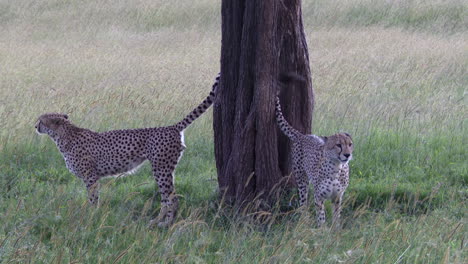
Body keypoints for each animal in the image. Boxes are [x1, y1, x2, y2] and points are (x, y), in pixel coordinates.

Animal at [36, 74, 219, 227]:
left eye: (41, 120)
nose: (35, 126)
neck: (64, 135)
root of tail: (172, 127)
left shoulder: (91, 176)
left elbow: (93, 198)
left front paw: (92, 215)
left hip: (161, 169)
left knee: (171, 198)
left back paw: (165, 224)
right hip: (166, 169)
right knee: (166, 198)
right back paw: (156, 221)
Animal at [274, 76, 354, 227]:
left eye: (350, 144)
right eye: (338, 145)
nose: (347, 155)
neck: (337, 167)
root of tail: (303, 135)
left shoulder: (337, 197)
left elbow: (336, 216)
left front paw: (336, 230)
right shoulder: (319, 197)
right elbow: (321, 217)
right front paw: (322, 231)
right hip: (301, 179)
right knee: (303, 202)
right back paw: (303, 219)